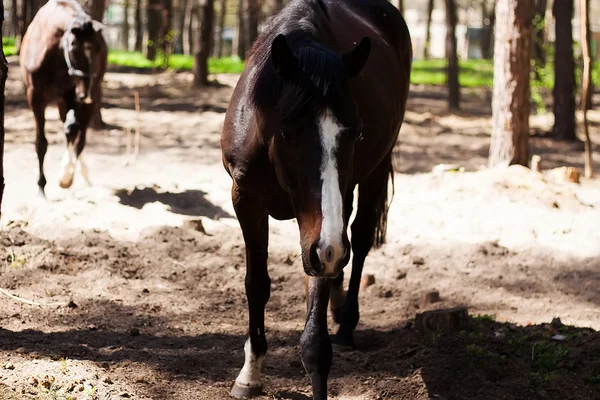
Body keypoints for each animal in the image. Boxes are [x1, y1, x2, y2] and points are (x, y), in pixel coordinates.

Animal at [19, 0, 108, 197]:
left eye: (98, 48)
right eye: (74, 46)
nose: (86, 93)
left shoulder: (71, 94)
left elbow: (72, 130)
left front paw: (66, 175)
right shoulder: (35, 97)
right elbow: (41, 143)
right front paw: (41, 187)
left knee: (79, 135)